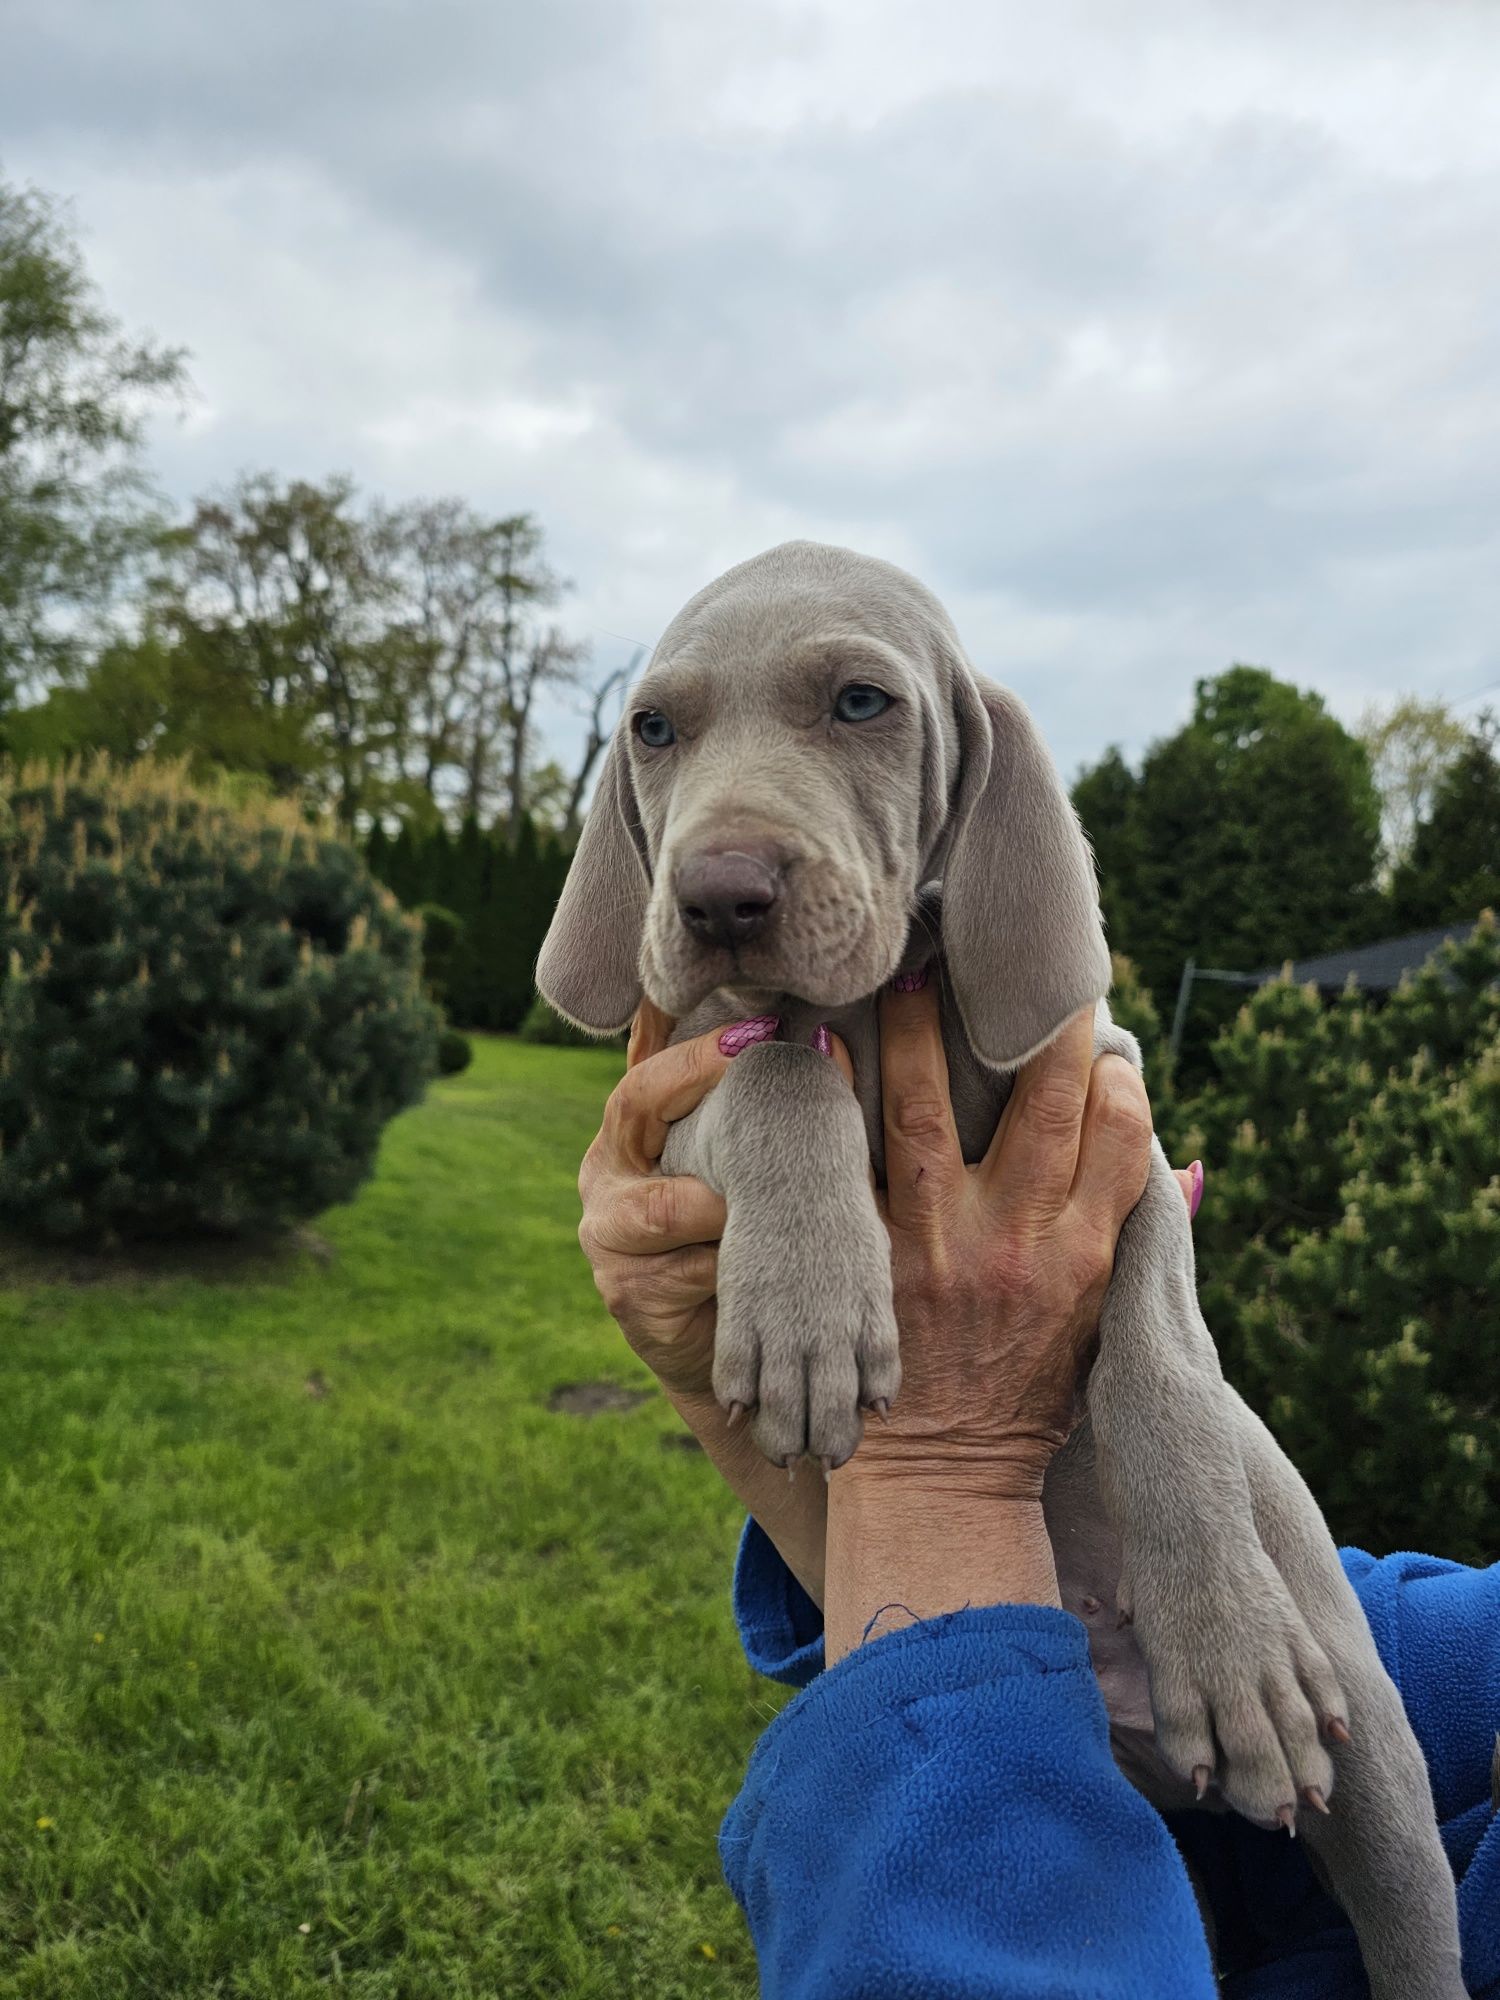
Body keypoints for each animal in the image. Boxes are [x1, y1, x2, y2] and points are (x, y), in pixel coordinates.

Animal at [540, 540, 1472, 1992]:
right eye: (652, 728)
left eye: (863, 703)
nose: (720, 895)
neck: (878, 1002)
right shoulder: (681, 1080)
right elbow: (778, 1068)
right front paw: (808, 1314)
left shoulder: (1119, 1105)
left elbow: (1163, 1358)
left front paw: (1230, 1645)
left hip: (1371, 1748)